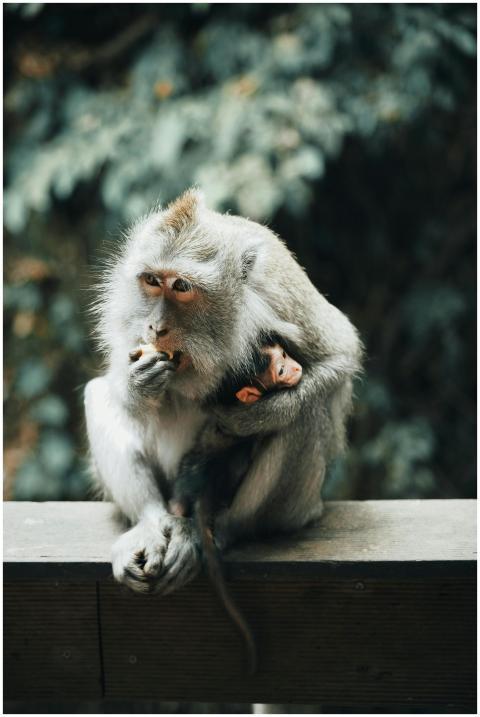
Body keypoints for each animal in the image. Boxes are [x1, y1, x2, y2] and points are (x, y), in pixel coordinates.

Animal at [84, 188, 362, 603]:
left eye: (181, 286)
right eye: (151, 280)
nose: (156, 326)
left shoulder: (279, 285)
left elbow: (340, 355)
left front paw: (247, 419)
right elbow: (117, 380)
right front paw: (136, 382)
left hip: (297, 509)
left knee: (307, 413)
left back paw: (223, 530)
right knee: (98, 394)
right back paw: (152, 521)